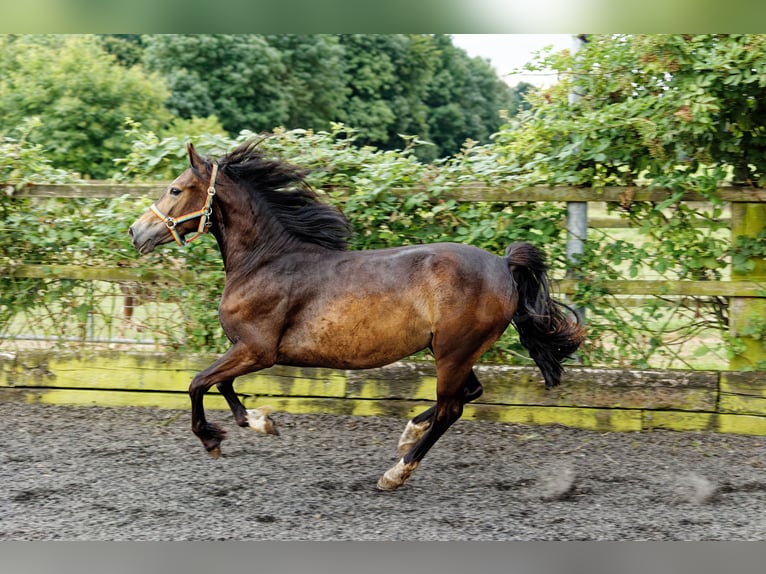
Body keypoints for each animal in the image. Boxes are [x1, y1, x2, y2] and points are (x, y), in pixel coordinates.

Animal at [127, 142, 584, 492]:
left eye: (176, 189)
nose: (136, 232)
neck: (265, 261)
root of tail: (503, 264)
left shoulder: (259, 349)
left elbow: (197, 383)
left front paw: (214, 440)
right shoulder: (246, 349)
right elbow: (221, 384)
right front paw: (258, 421)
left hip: (454, 351)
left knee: (451, 408)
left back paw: (396, 473)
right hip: (451, 350)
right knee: (466, 394)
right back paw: (409, 432)